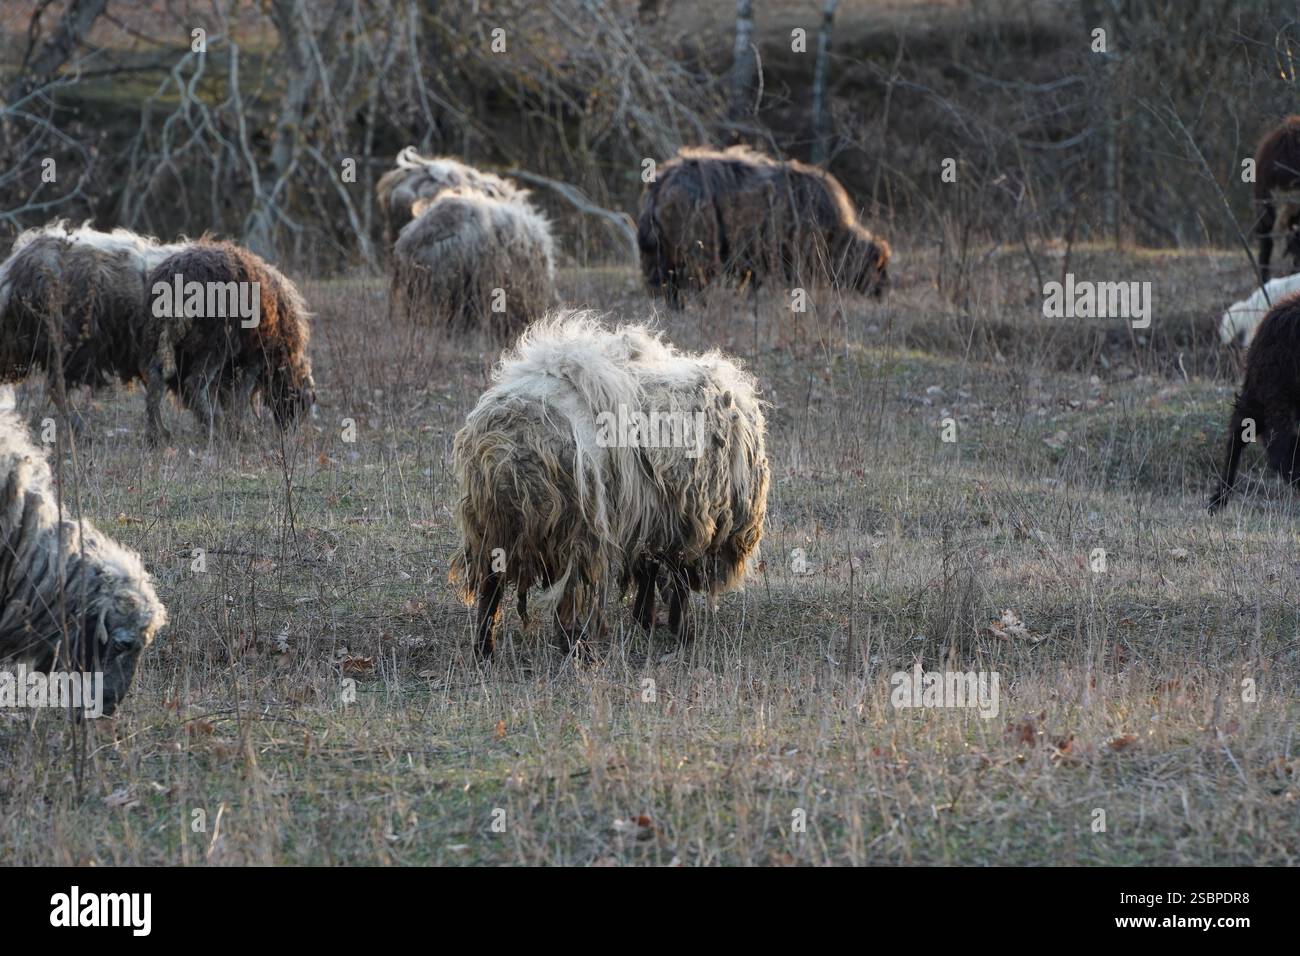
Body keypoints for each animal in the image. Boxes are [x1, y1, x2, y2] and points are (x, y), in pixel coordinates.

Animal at [144, 239, 317, 441]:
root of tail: (175, 278)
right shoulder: (255, 357)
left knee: (155, 380)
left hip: (160, 341)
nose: (290, 432)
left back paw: (156, 434)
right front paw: (236, 429)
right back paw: (211, 429)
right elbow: (240, 394)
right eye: (301, 404)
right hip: (215, 344)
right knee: (194, 383)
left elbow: (224, 394)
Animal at [449, 311, 769, 660]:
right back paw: (577, 650)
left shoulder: (650, 518)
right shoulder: (684, 521)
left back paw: (485, 649)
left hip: (491, 527)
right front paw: (680, 629)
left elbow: (649, 569)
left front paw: (647, 620)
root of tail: (507, 448)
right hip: (575, 528)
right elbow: (676, 577)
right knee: (568, 594)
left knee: (490, 588)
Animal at [636, 145, 890, 307]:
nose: (883, 291)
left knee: (664, 282)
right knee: (689, 280)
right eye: (877, 267)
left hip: (659, 251)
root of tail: (662, 183)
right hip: (695, 246)